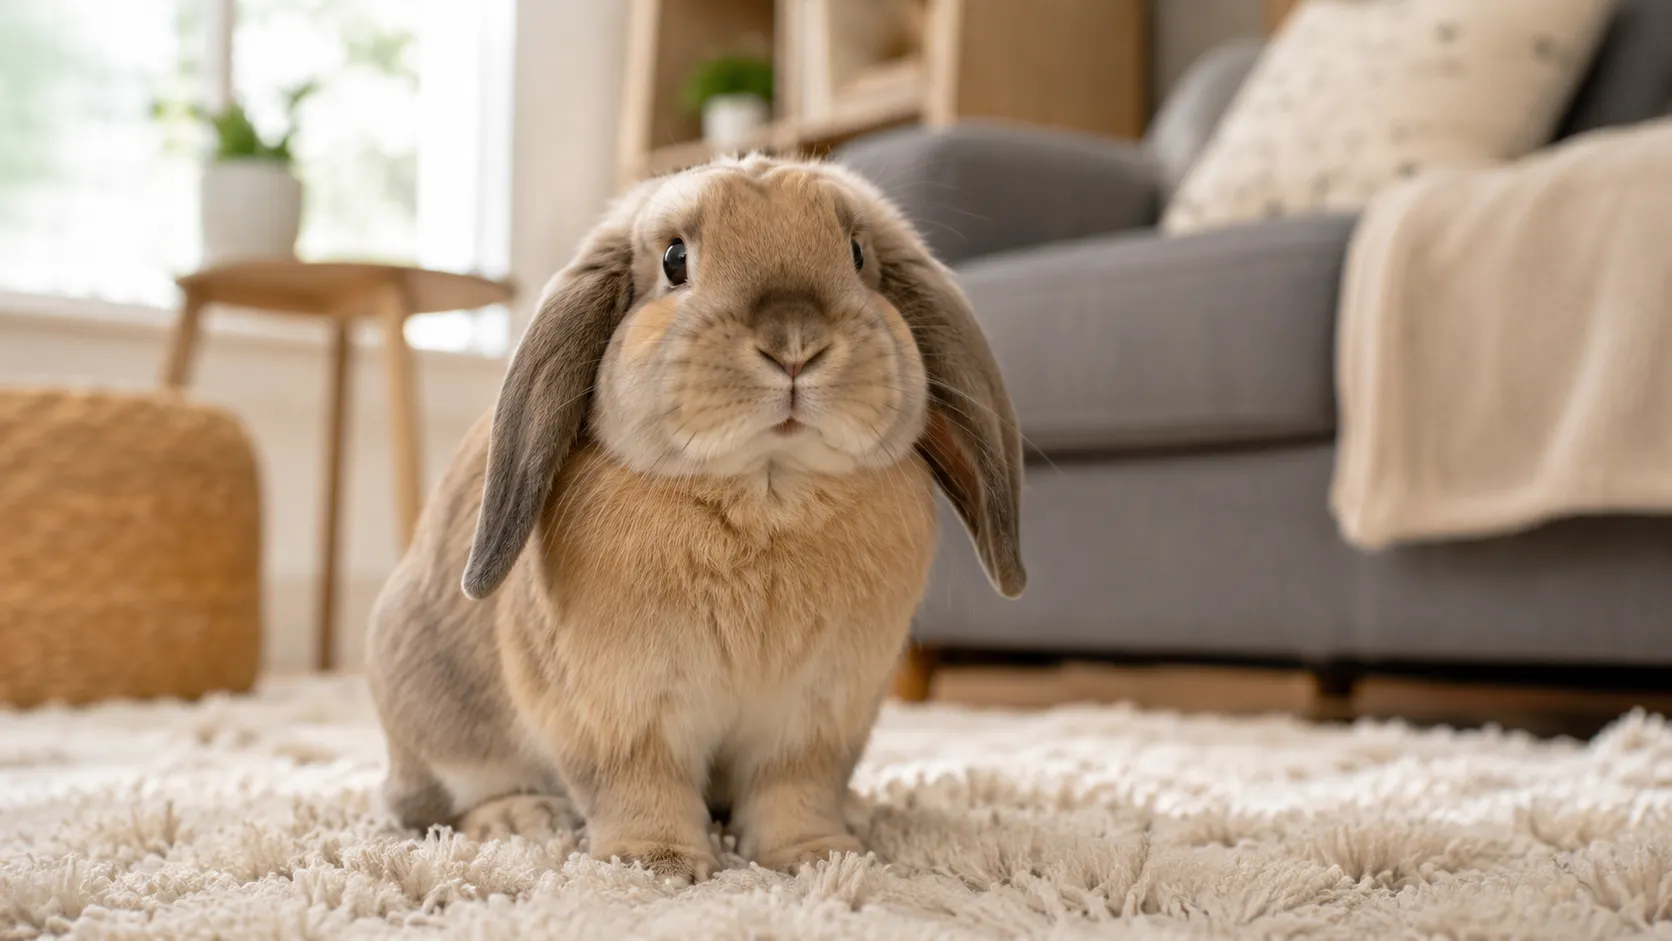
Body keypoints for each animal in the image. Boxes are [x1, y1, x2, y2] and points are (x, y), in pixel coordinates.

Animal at [364, 153, 1025, 884]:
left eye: (857, 255)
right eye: (675, 260)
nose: (793, 343)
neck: (767, 491)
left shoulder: (818, 720)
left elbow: (794, 792)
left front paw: (816, 856)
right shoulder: (621, 716)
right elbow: (639, 786)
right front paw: (658, 864)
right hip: (439, 723)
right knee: (436, 805)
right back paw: (520, 818)